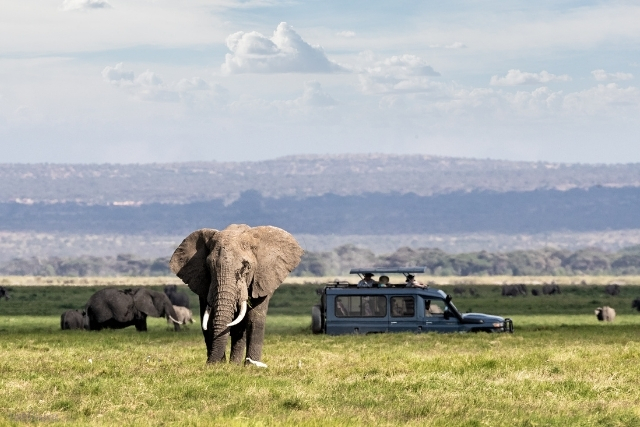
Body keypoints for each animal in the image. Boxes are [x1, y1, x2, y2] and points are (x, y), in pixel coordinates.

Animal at [169, 226, 302, 366]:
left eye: (247, 267)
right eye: (209, 267)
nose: (211, 363)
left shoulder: (262, 280)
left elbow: (254, 319)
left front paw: (251, 366)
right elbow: (209, 320)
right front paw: (216, 365)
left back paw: (235, 364)